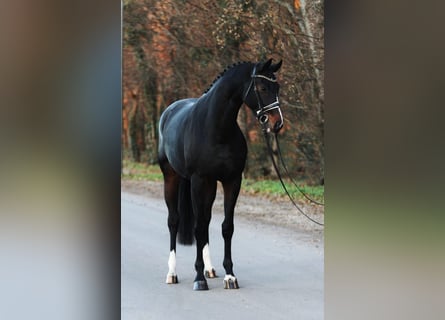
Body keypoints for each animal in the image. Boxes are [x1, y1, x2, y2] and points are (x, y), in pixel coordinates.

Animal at [157, 57, 280, 290]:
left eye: (278, 87)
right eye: (262, 87)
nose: (277, 123)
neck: (216, 128)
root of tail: (168, 112)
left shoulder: (232, 181)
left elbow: (226, 227)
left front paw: (230, 276)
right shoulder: (198, 180)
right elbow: (197, 228)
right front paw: (199, 279)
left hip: (210, 185)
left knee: (206, 220)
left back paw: (210, 269)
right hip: (172, 177)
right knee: (174, 221)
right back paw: (171, 273)